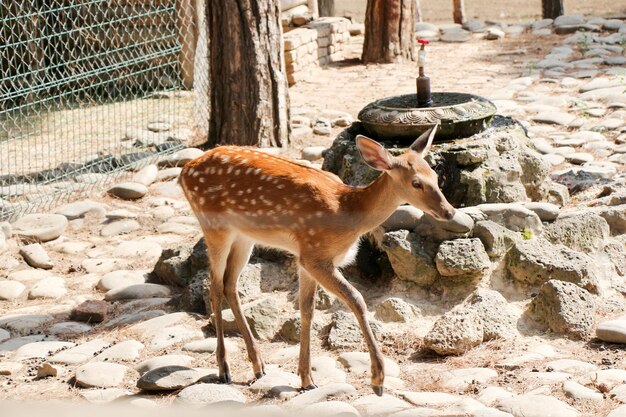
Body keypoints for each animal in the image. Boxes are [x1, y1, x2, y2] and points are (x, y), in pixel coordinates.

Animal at [178, 122, 456, 394]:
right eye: (416, 183)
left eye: (436, 176)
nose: (450, 212)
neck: (347, 212)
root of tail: (183, 173)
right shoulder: (315, 255)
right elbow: (357, 300)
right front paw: (378, 380)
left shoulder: (305, 257)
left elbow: (307, 310)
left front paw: (305, 379)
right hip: (214, 226)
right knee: (214, 287)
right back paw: (224, 369)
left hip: (244, 236)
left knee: (230, 284)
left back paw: (259, 366)